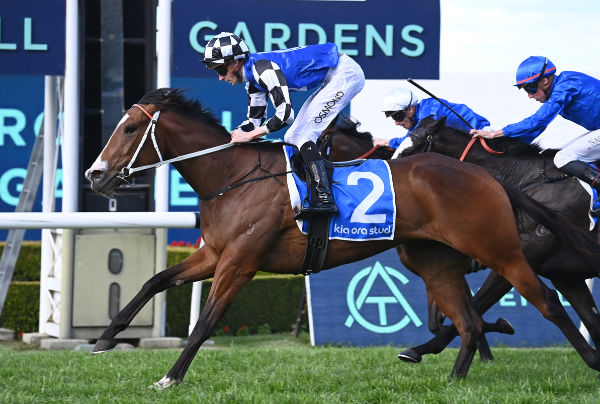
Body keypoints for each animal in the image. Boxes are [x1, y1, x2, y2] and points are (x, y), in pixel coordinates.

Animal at [83, 88, 600, 388]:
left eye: (130, 127)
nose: (94, 174)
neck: (232, 176)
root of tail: (486, 176)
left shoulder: (240, 262)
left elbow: (206, 322)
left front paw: (169, 378)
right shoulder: (213, 253)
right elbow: (154, 281)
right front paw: (104, 339)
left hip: (500, 251)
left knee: (547, 304)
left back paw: (592, 361)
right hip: (432, 260)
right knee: (469, 321)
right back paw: (451, 379)